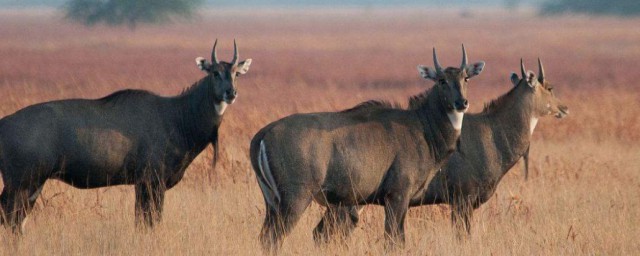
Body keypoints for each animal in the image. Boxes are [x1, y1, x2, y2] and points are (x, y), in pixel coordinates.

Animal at [0, 39, 252, 233]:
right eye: (215, 73)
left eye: (236, 74)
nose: (231, 93)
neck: (179, 117)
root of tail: (3, 123)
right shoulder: (152, 181)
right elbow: (151, 221)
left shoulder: (141, 184)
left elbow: (143, 221)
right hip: (22, 181)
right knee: (10, 216)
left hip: (33, 183)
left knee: (15, 219)